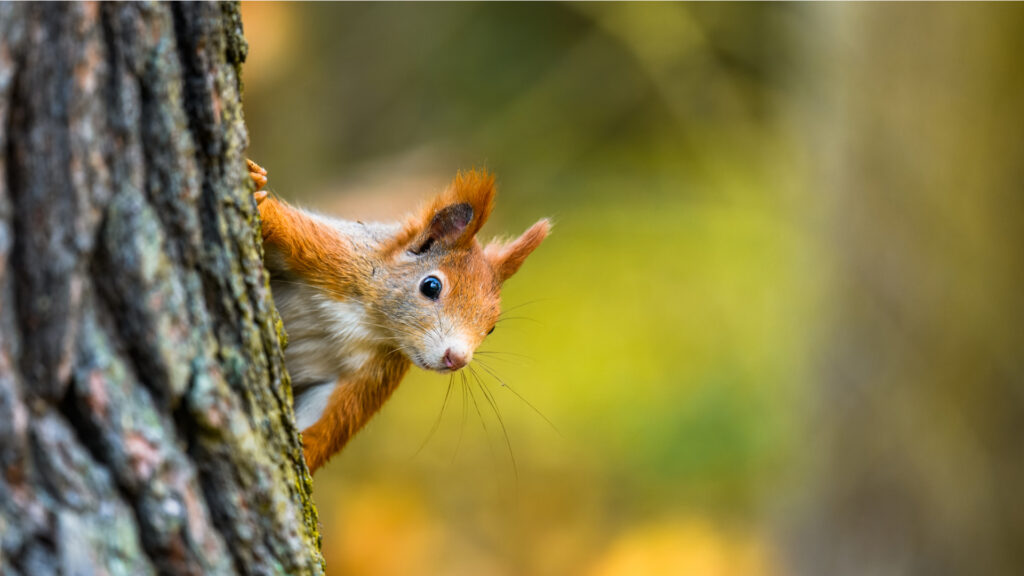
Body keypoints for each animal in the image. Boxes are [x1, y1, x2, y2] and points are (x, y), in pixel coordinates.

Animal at [246, 158, 548, 473]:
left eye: (491, 328)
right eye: (431, 286)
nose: (457, 359)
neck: (369, 320)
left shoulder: (373, 373)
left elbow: (332, 422)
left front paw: (303, 456)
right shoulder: (329, 253)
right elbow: (282, 224)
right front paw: (256, 185)